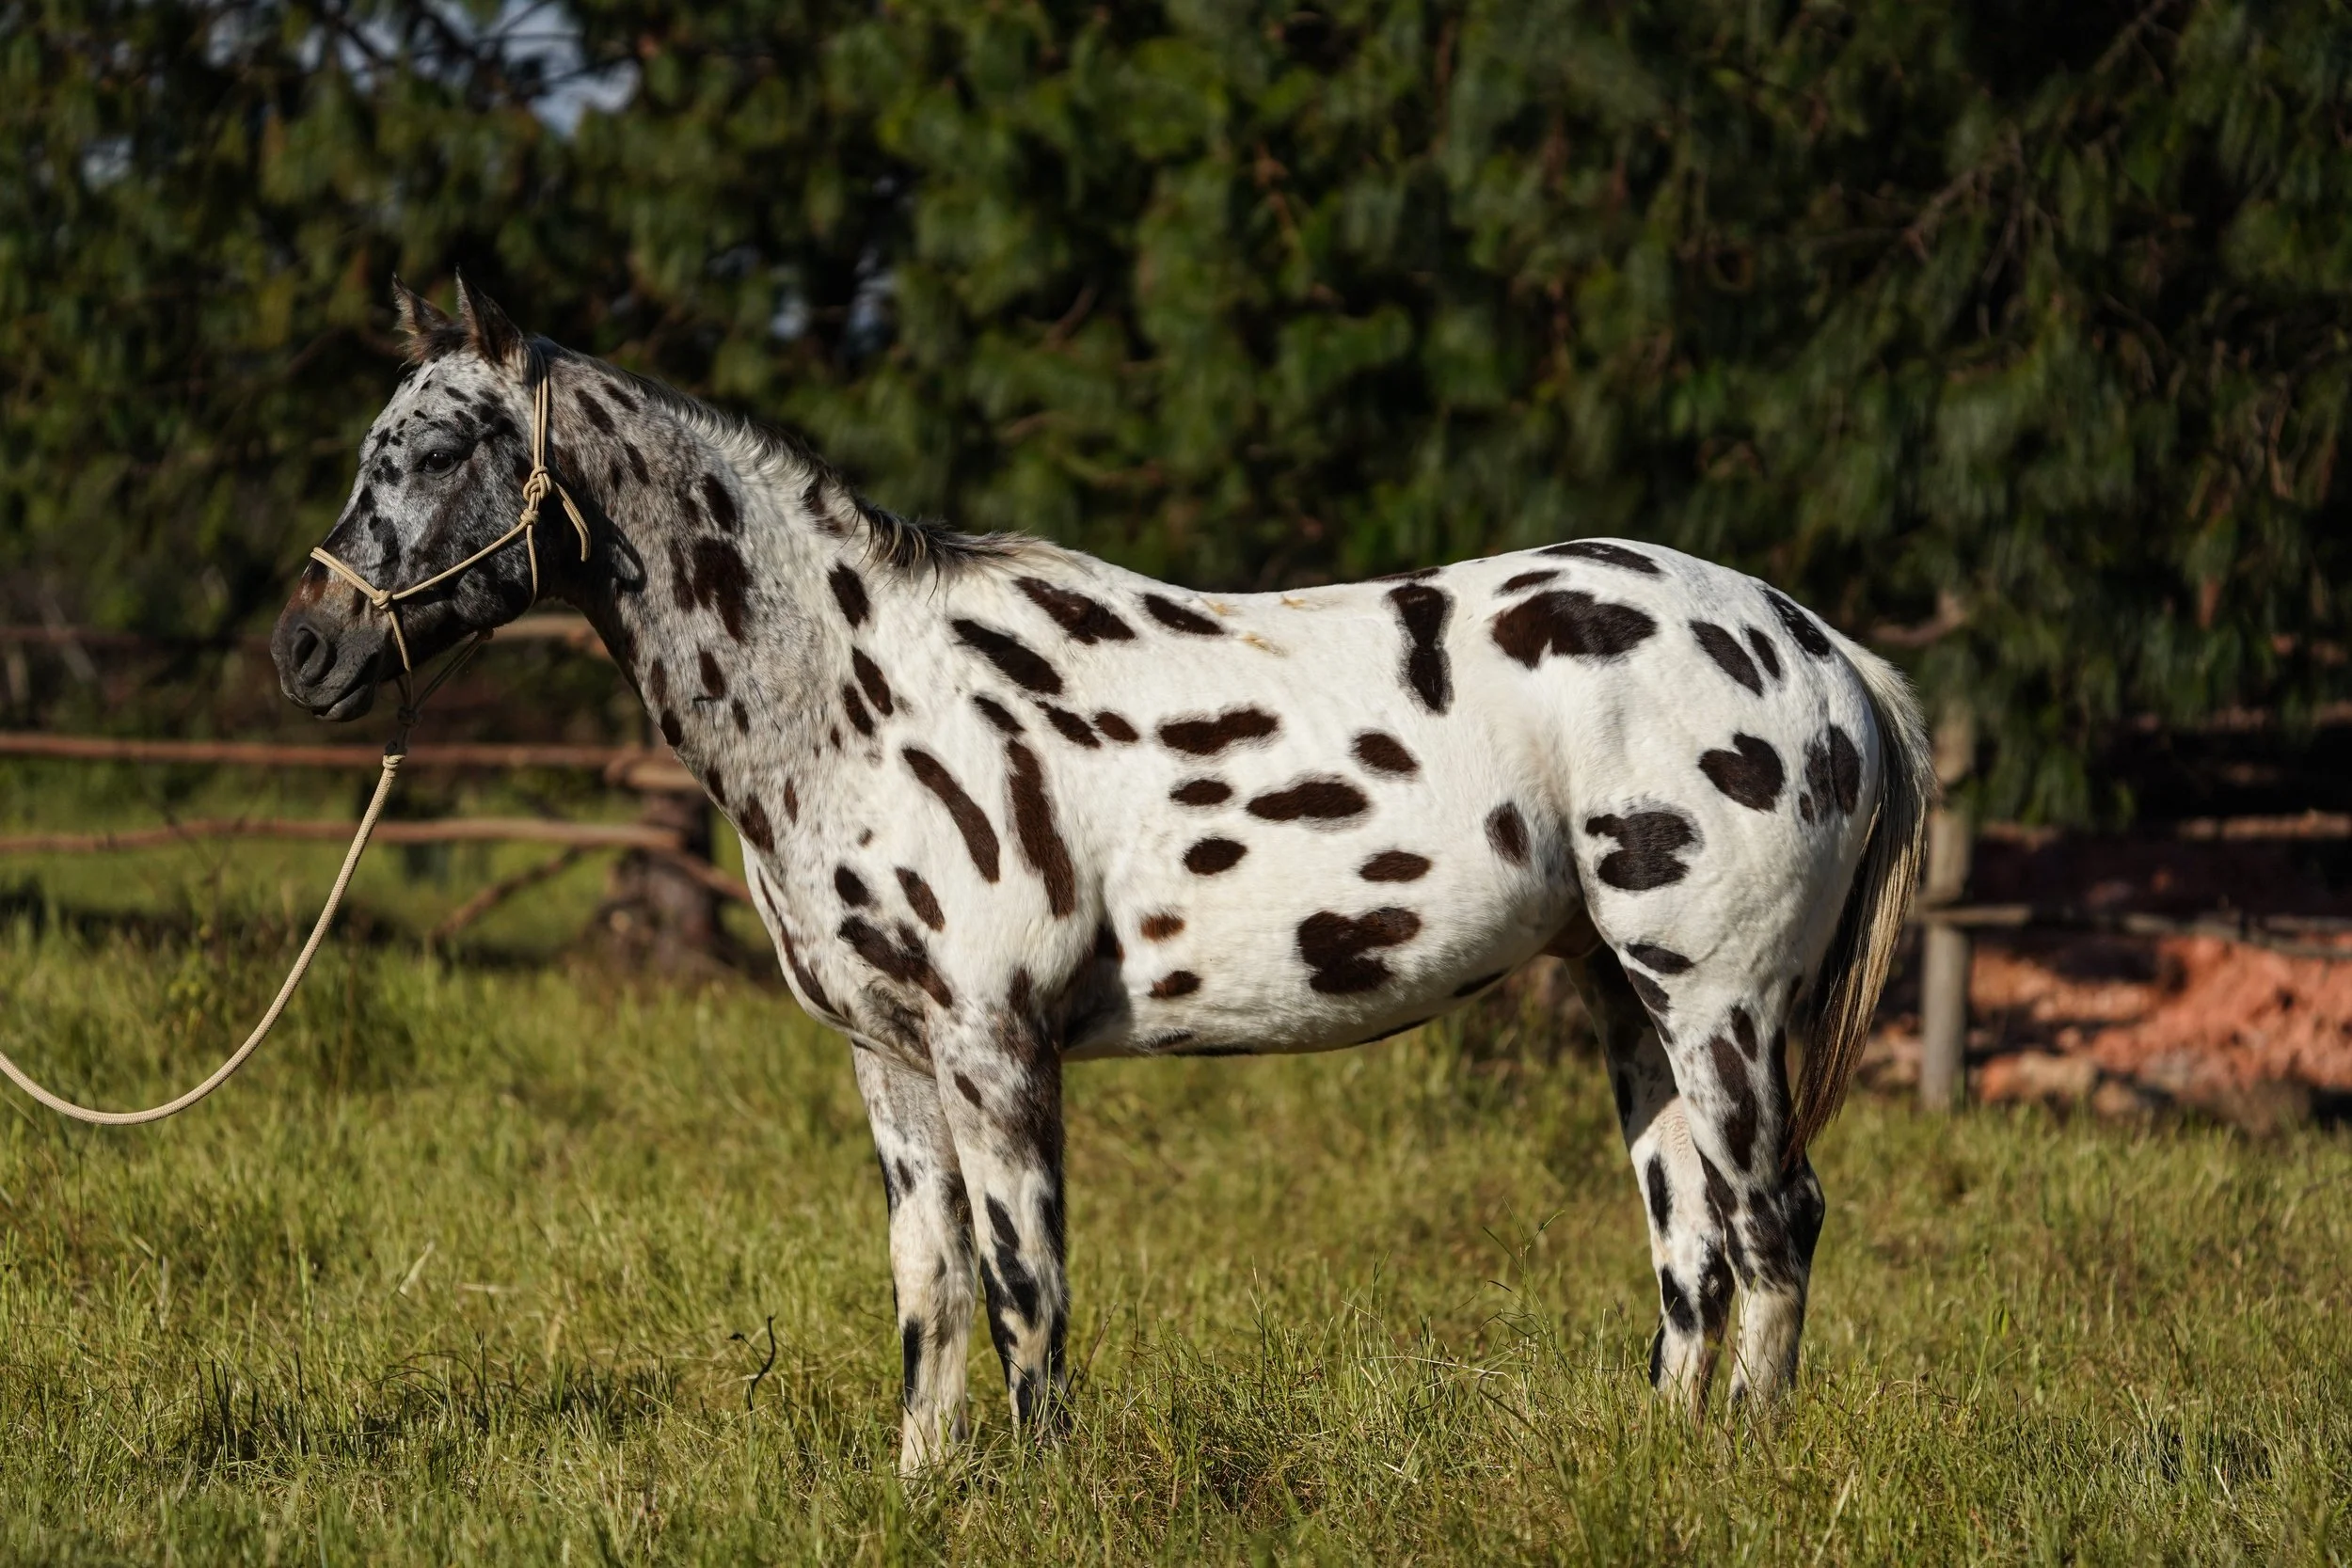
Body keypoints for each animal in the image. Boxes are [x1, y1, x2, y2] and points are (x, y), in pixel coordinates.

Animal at [272, 278, 1931, 1471]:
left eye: (436, 449)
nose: (307, 646)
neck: (859, 689)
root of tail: (1823, 650)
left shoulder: (998, 1043)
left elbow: (1027, 1282)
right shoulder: (891, 1052)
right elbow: (932, 1281)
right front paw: (923, 1481)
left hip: (1716, 1002)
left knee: (1774, 1217)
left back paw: (1752, 1461)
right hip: (1628, 1004)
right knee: (1690, 1242)